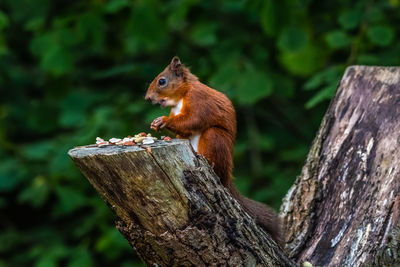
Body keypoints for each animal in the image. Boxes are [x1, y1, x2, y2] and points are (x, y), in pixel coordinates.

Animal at [144, 56, 282, 245]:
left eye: (162, 81)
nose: (147, 98)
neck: (182, 96)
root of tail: (226, 178)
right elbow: (184, 130)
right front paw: (156, 124)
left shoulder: (200, 101)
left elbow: (193, 120)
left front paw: (163, 120)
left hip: (215, 138)